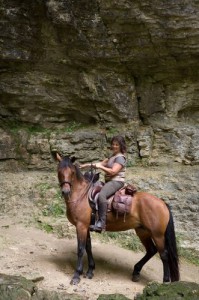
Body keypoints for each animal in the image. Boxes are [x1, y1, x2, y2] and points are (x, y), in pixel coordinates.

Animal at [53, 154, 180, 284]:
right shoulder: (86, 227)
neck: (82, 196)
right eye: (59, 171)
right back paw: (136, 271)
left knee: (164, 254)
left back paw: (165, 280)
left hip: (157, 235)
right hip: (142, 231)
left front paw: (77, 275)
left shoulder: (81, 226)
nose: (66, 191)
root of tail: (163, 204)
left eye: (72, 172)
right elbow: (88, 247)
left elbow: (80, 249)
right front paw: (90, 270)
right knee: (151, 250)